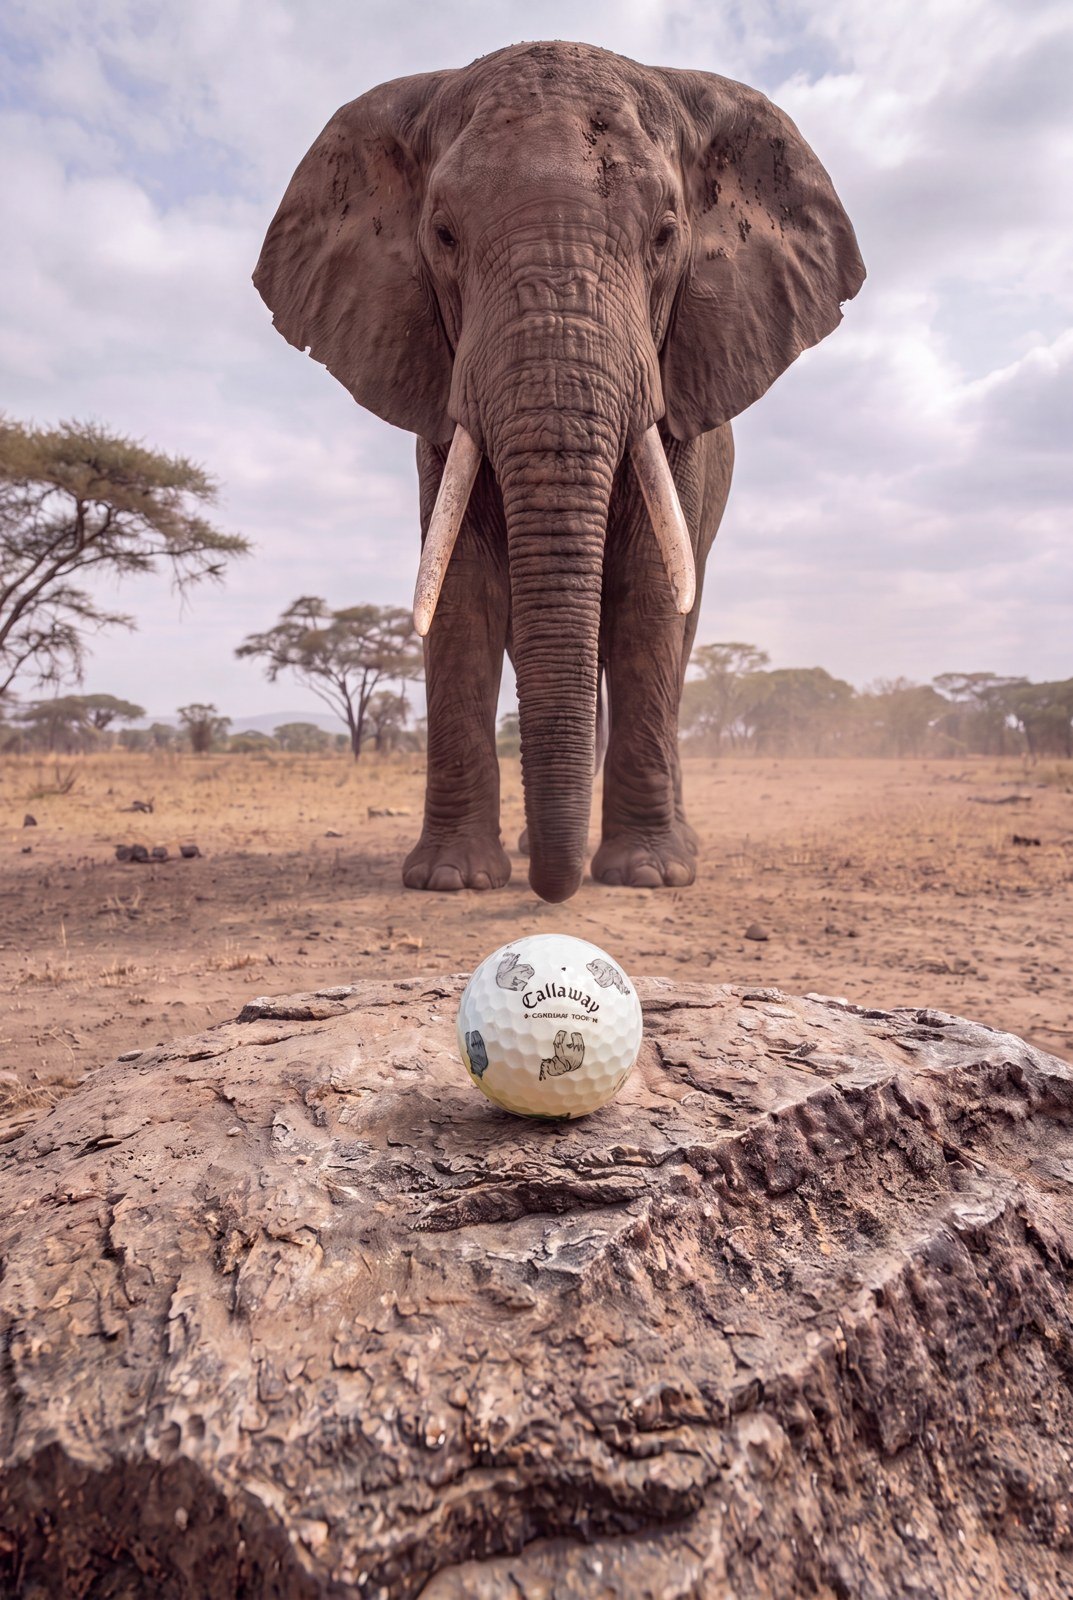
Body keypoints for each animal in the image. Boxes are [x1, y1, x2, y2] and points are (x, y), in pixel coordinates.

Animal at [254, 41, 864, 903]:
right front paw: (451, 879)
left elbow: (647, 595)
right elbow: (463, 589)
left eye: (665, 235)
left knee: (678, 625)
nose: (552, 892)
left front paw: (647, 875)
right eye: (443, 235)